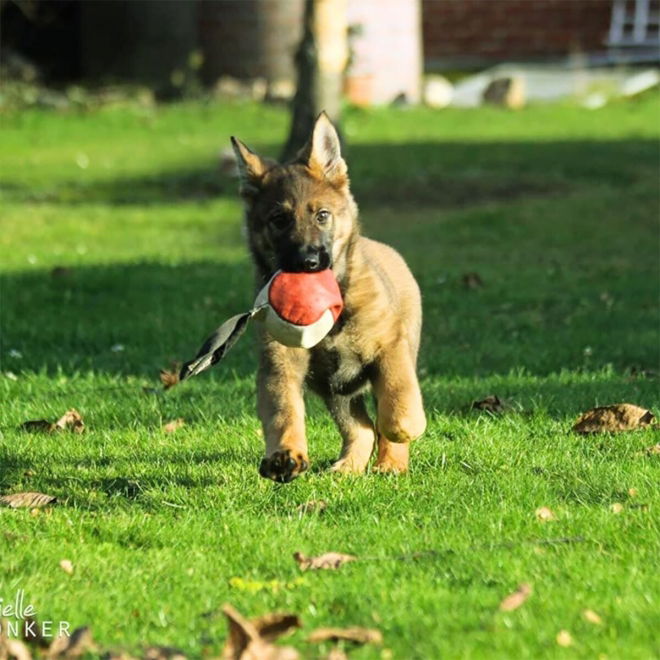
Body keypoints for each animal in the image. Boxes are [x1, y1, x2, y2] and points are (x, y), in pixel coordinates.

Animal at [232, 113, 428, 482]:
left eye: (322, 215)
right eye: (279, 220)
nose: (308, 262)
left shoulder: (390, 348)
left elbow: (397, 403)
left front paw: (403, 429)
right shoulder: (281, 365)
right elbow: (284, 412)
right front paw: (285, 455)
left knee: (381, 417)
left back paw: (390, 464)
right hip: (336, 392)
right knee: (362, 428)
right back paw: (348, 466)